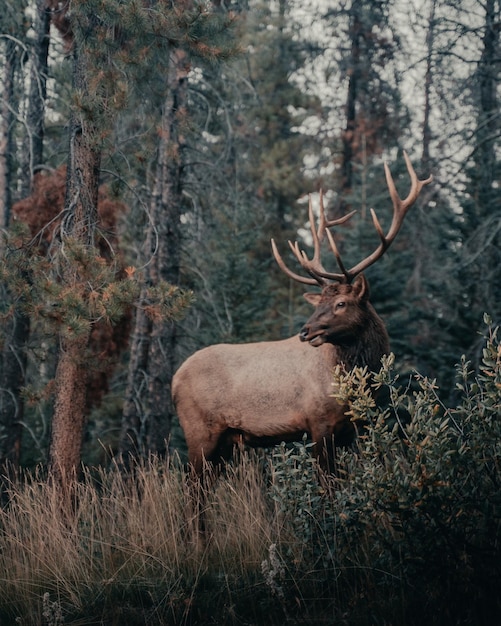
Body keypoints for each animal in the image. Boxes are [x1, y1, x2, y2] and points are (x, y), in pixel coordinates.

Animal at [172, 152, 430, 472]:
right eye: (318, 304)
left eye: (340, 303)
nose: (306, 332)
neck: (357, 381)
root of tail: (174, 381)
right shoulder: (318, 422)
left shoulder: (353, 429)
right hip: (200, 432)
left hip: (224, 442)